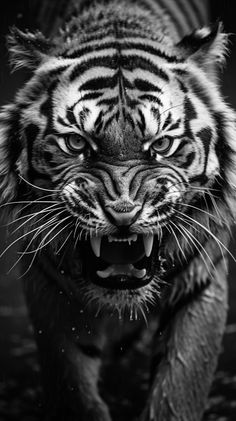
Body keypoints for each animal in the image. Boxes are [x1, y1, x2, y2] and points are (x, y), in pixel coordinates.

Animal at [0, 0, 236, 418]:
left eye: (161, 145)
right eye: (77, 143)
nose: (123, 213)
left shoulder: (202, 282)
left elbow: (180, 385)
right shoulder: (49, 288)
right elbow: (71, 383)